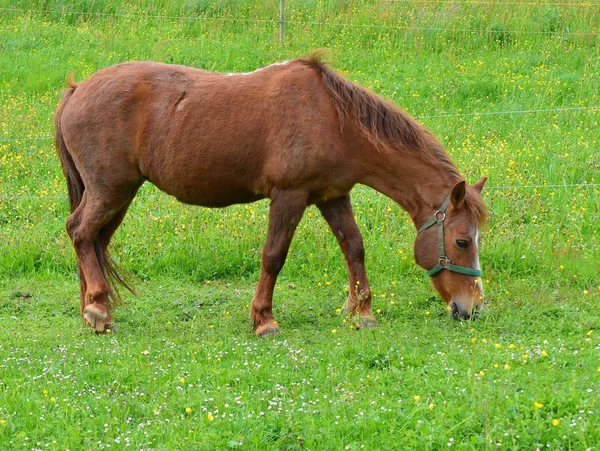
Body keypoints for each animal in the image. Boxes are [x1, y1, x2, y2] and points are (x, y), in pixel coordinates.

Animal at [55, 53, 488, 336]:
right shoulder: (289, 196)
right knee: (80, 232)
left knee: (95, 242)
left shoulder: (332, 196)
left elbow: (354, 248)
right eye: (462, 241)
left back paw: (96, 309)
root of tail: (77, 90)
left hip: (119, 195)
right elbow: (274, 256)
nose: (472, 308)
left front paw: (361, 312)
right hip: (110, 191)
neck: (333, 118)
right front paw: (264, 319)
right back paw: (97, 307)